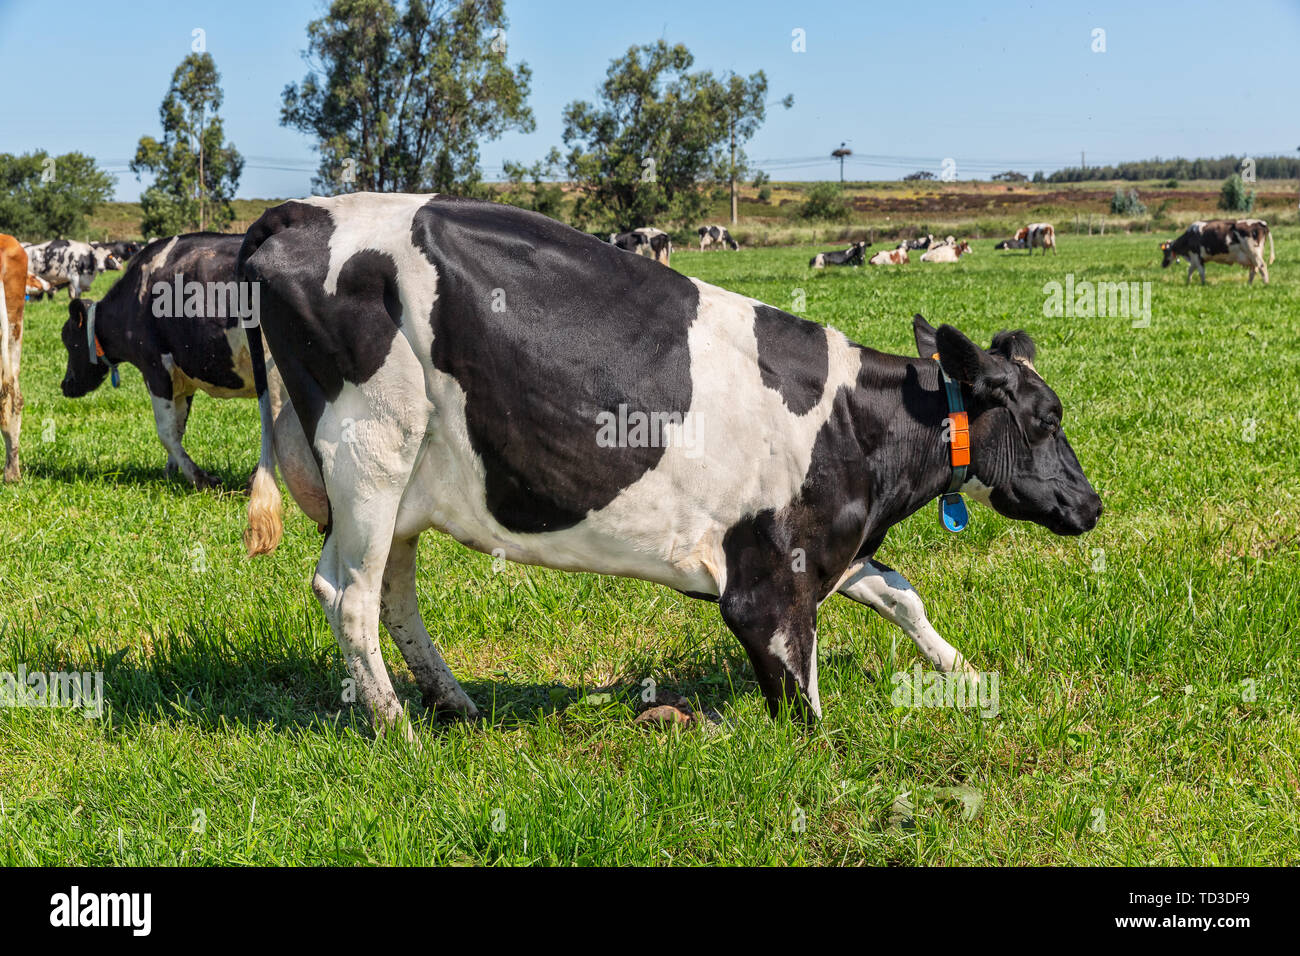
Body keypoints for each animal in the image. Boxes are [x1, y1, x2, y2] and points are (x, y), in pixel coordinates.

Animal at [60, 233, 274, 488]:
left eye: (69, 341)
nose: (65, 385)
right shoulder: (183, 378)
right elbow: (178, 427)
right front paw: (170, 473)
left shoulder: (155, 367)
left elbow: (165, 431)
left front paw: (199, 478)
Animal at [237, 194, 1101, 738]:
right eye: (1048, 417)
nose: (1091, 505)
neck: (856, 426)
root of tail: (298, 210)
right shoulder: (764, 585)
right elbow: (805, 701)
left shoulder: (829, 546)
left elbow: (901, 593)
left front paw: (967, 674)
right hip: (371, 454)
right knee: (348, 595)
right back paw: (396, 728)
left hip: (403, 483)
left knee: (392, 588)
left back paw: (453, 704)